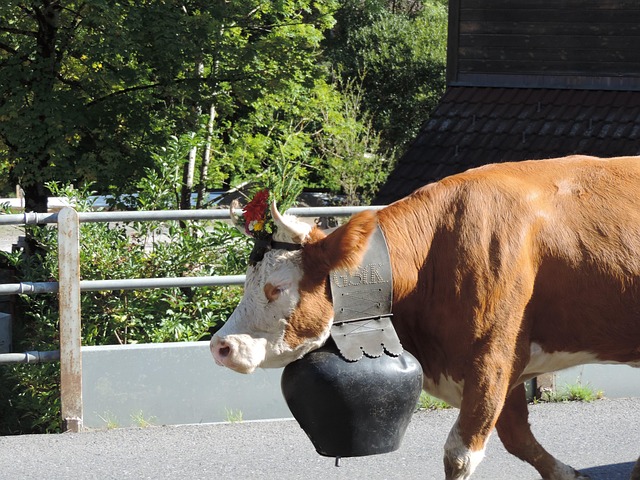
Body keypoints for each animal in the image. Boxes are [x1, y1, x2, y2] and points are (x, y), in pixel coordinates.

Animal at [210, 154, 640, 480]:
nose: (221, 346)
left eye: (277, 287)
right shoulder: (498, 367)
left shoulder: (494, 355)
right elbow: (517, 437)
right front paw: (571, 475)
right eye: (249, 280)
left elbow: (461, 454)